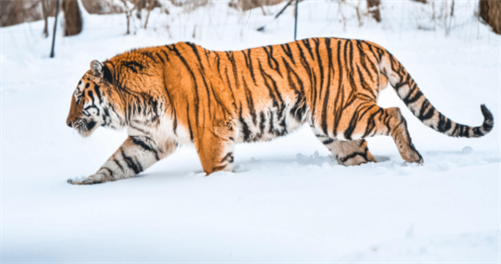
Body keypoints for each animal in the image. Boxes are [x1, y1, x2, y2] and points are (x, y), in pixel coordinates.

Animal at [65, 38, 492, 185]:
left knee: (394, 115)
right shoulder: (147, 140)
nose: (67, 123)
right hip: (336, 133)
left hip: (341, 114)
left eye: (80, 97)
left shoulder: (210, 134)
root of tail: (369, 43)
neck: (137, 108)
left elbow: (215, 168)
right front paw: (83, 182)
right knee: (364, 155)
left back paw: (412, 158)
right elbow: (116, 164)